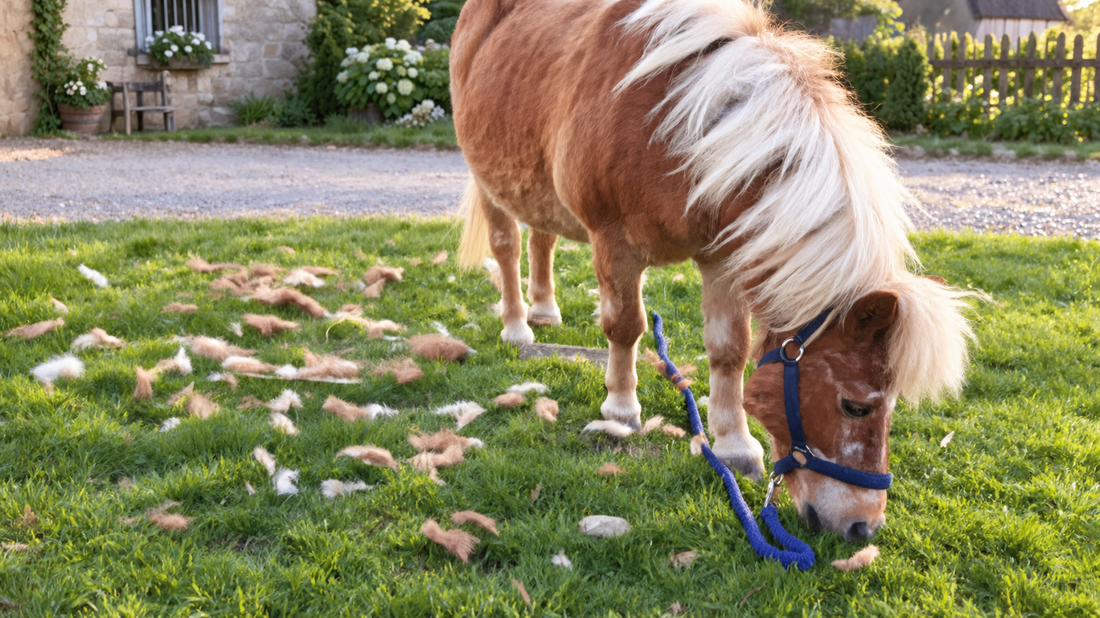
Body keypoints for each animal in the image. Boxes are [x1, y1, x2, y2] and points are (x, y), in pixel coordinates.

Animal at [451, 0, 974, 541]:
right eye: (856, 405)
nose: (862, 527)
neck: (675, 129)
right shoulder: (614, 244)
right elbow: (625, 327)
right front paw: (621, 410)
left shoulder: (723, 257)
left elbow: (729, 349)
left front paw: (734, 445)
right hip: (489, 183)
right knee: (509, 248)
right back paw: (518, 325)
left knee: (543, 236)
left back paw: (545, 309)